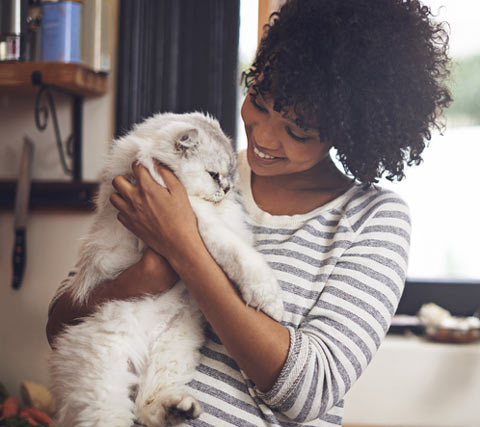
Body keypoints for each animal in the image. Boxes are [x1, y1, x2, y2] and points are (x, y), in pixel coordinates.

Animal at [49, 112, 284, 426]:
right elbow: (241, 257)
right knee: (120, 412)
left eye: (231, 177)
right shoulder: (198, 222)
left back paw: (180, 408)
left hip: (174, 348)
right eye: (214, 175)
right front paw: (270, 302)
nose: (226, 189)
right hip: (104, 377)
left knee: (146, 404)